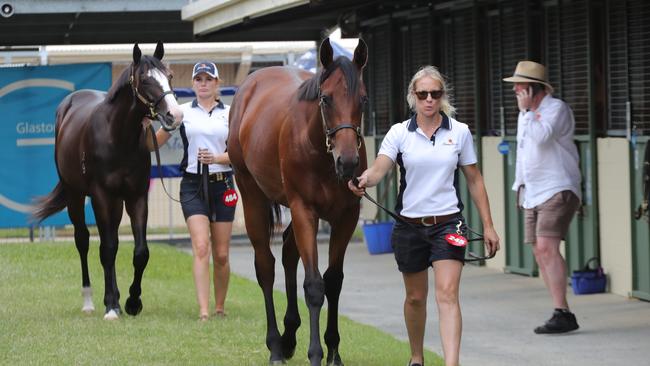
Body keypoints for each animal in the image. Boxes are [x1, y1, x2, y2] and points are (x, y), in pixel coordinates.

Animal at [32, 41, 181, 318]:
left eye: (170, 76)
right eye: (145, 79)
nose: (174, 115)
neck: (117, 136)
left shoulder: (136, 197)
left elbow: (140, 252)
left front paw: (132, 302)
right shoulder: (100, 196)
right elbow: (107, 249)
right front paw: (112, 306)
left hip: (116, 203)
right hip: (76, 196)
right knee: (83, 241)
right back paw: (90, 301)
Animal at [228, 38, 368, 364]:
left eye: (363, 100)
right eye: (326, 99)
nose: (348, 162)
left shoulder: (347, 216)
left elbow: (334, 280)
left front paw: (333, 351)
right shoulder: (305, 210)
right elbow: (315, 285)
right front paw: (316, 353)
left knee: (289, 253)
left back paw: (289, 334)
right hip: (252, 197)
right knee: (265, 267)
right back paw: (275, 346)